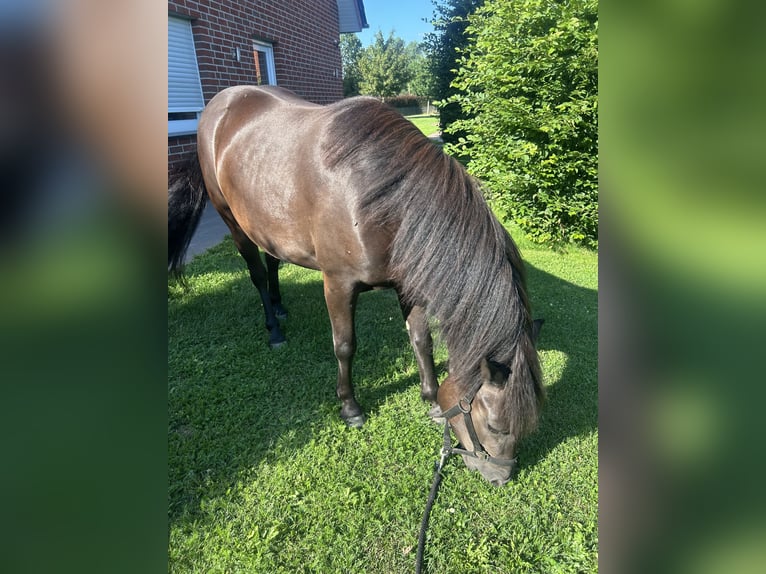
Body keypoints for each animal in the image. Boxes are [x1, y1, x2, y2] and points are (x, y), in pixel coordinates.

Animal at [168, 85, 544, 485]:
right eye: (496, 425)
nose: (501, 477)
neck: (381, 198)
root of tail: (220, 104)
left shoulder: (408, 285)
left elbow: (420, 340)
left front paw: (430, 400)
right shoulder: (338, 284)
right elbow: (345, 346)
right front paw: (350, 408)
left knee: (272, 261)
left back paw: (281, 305)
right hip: (234, 223)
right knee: (256, 273)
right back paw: (274, 328)